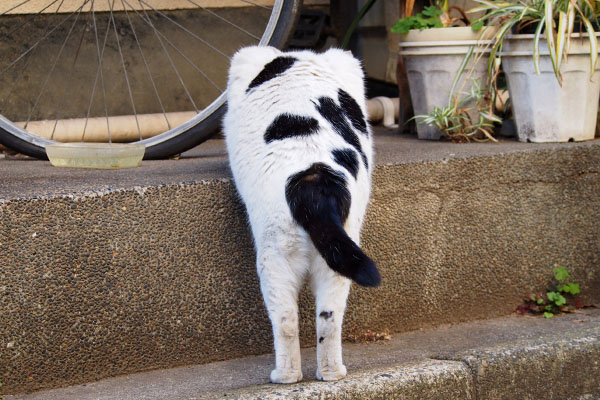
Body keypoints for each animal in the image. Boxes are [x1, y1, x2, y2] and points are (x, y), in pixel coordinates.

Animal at [225, 45, 380, 382]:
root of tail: (313, 178)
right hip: (337, 257)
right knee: (329, 319)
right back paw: (331, 372)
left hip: (274, 258)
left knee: (285, 320)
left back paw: (285, 376)